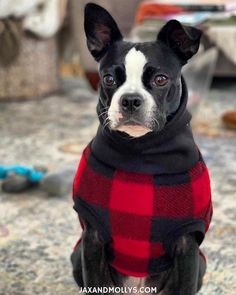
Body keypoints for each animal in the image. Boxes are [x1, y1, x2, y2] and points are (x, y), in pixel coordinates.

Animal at [70, 2, 212, 295]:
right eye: (109, 78)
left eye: (160, 79)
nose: (131, 100)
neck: (142, 154)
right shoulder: (92, 238)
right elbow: (95, 280)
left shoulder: (186, 244)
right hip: (77, 254)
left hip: (201, 263)